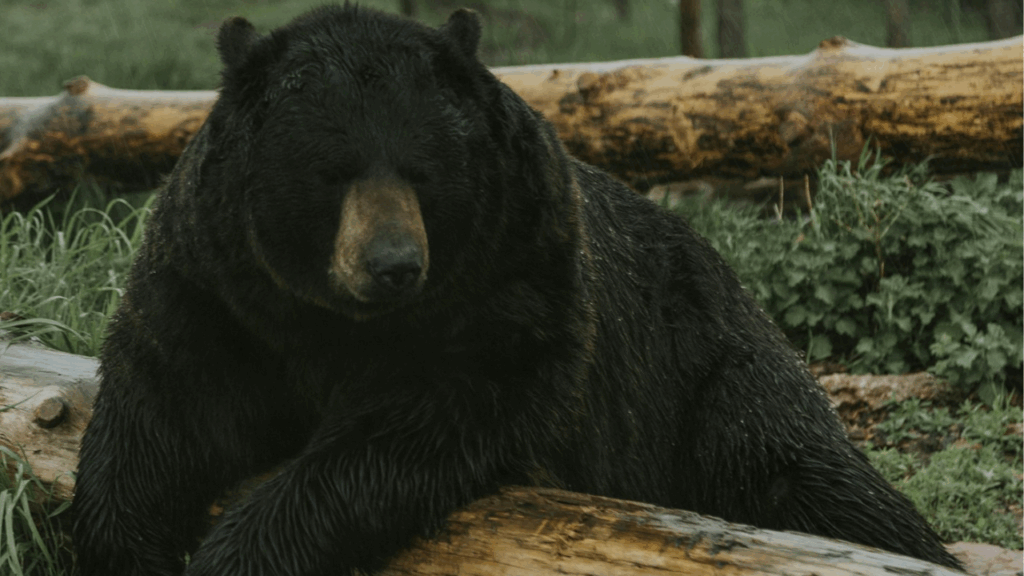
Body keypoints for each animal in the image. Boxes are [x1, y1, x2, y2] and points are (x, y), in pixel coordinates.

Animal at [71, 4, 963, 575]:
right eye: (331, 169)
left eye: (423, 170)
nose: (393, 263)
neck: (334, 320)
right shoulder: (219, 284)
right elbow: (162, 404)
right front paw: (125, 543)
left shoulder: (512, 281)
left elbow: (416, 424)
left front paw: (237, 552)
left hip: (707, 384)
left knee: (819, 484)